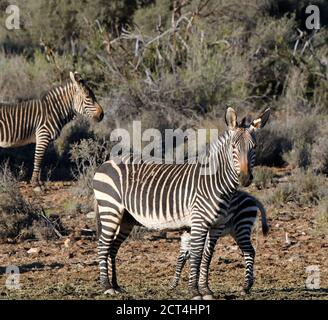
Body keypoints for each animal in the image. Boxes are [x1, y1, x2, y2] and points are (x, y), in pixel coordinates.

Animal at [93, 107, 270, 300]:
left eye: (254, 147)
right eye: (233, 147)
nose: (245, 178)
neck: (216, 182)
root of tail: (107, 162)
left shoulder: (217, 226)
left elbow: (207, 256)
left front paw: (206, 290)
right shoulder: (199, 222)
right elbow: (197, 255)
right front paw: (194, 291)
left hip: (126, 218)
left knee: (113, 247)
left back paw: (116, 285)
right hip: (110, 209)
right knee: (103, 245)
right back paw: (106, 286)